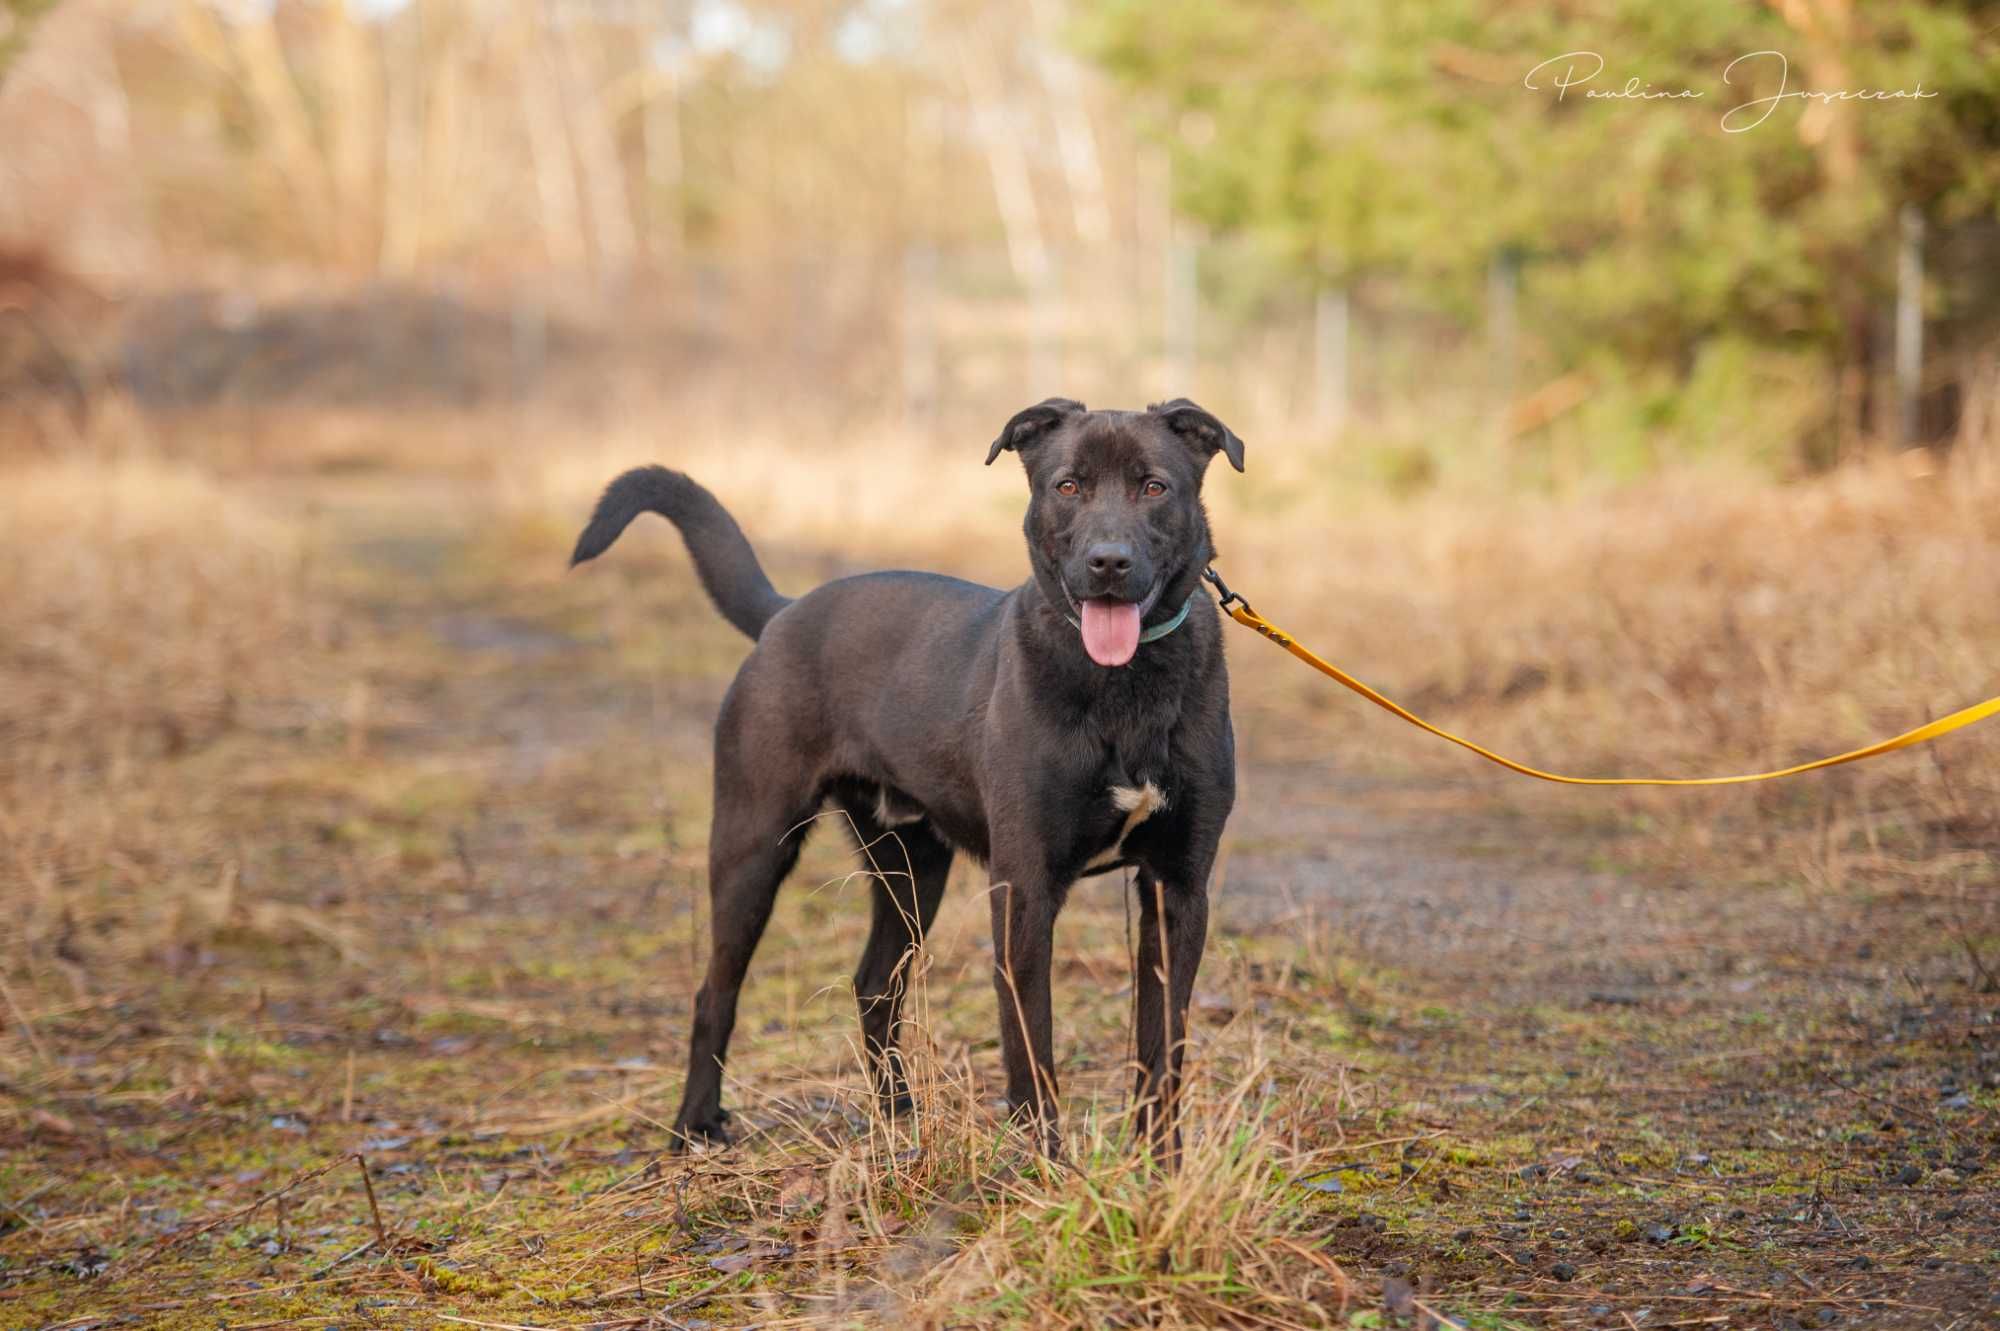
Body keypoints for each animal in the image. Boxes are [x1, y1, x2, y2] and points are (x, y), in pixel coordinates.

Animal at [572, 393, 1240, 1151]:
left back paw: (896, 1113)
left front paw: (1161, 1165)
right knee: (717, 990)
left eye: (1154, 486)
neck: (1124, 686)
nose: (1108, 562)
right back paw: (695, 1125)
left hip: (910, 861)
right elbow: (1030, 1041)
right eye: (1067, 485)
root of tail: (783, 614)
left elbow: (1163, 1045)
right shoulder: (1025, 886)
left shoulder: (1177, 887)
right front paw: (1042, 1161)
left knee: (873, 984)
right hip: (754, 844)